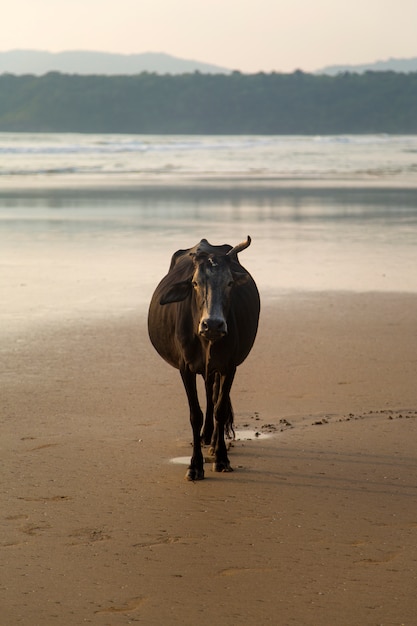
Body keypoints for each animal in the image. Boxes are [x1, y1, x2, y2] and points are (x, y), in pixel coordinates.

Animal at [145, 234, 258, 478]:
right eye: (195, 283)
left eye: (229, 283)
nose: (212, 324)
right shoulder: (185, 368)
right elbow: (194, 415)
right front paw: (195, 465)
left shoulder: (229, 367)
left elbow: (220, 409)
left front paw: (221, 458)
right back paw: (206, 438)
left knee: (213, 397)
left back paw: (213, 444)